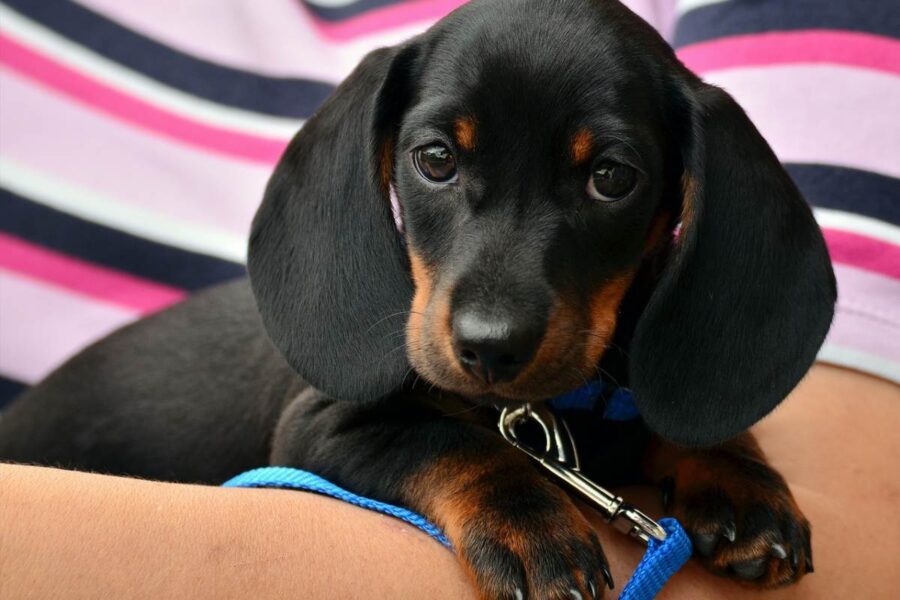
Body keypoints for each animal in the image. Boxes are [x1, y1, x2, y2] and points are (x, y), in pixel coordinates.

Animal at [0, 1, 832, 596]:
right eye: (435, 158)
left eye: (613, 177)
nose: (489, 347)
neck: (547, 414)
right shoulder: (321, 428)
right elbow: (451, 442)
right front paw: (533, 523)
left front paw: (738, 476)